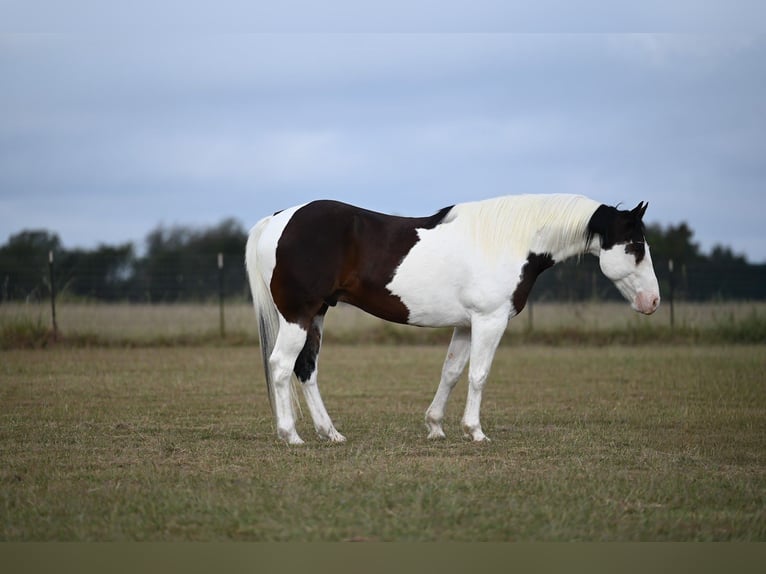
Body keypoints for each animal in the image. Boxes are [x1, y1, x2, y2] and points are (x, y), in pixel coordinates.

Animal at [245, 194, 660, 444]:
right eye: (636, 246)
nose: (652, 301)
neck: (510, 241)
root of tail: (277, 219)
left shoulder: (465, 324)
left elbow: (452, 372)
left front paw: (435, 426)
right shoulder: (490, 320)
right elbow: (479, 375)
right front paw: (475, 432)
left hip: (316, 315)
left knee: (306, 370)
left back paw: (330, 433)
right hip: (298, 316)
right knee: (281, 366)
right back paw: (291, 435)